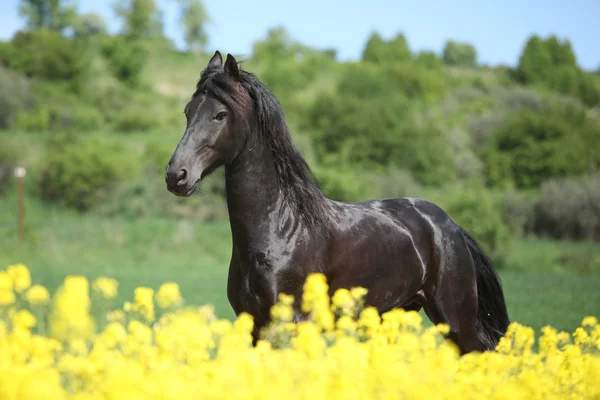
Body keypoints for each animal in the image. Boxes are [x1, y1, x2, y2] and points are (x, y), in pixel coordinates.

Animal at [166, 50, 508, 354]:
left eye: (220, 114)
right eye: (187, 111)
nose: (176, 175)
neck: (281, 228)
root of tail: (449, 226)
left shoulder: (289, 326)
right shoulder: (255, 328)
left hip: (456, 322)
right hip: (399, 315)